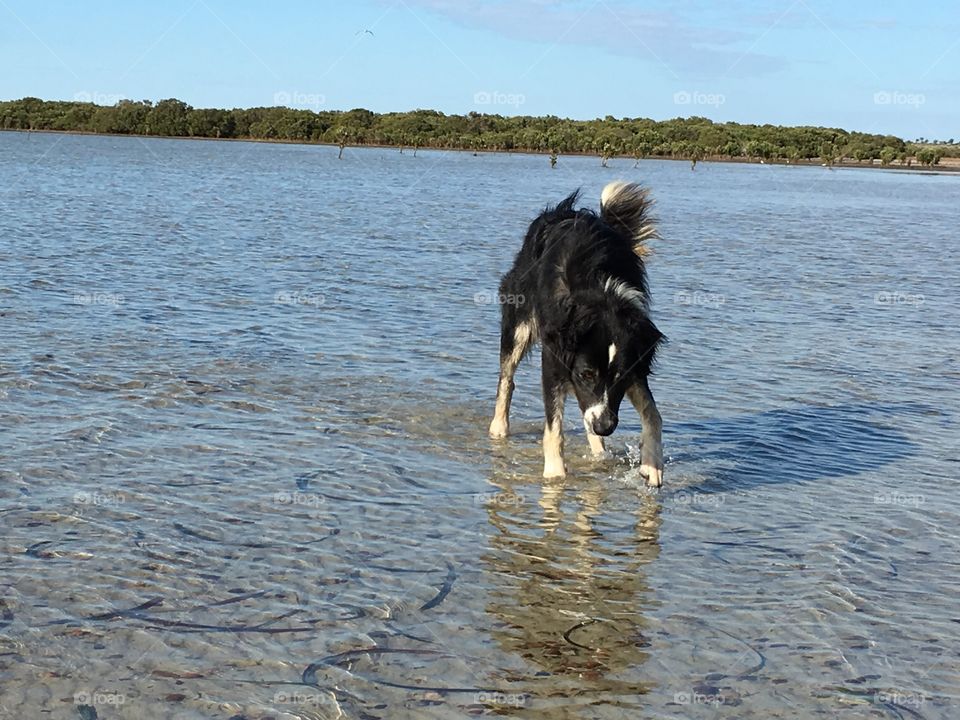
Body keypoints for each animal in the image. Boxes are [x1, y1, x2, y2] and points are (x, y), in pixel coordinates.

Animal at [492, 183, 664, 486]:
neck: (601, 298)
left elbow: (653, 414)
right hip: (519, 322)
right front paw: (555, 475)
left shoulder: (636, 361)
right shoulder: (554, 359)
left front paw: (652, 465)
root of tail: (567, 211)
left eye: (620, 376)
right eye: (587, 374)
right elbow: (553, 424)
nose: (605, 427)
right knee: (507, 378)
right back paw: (498, 428)